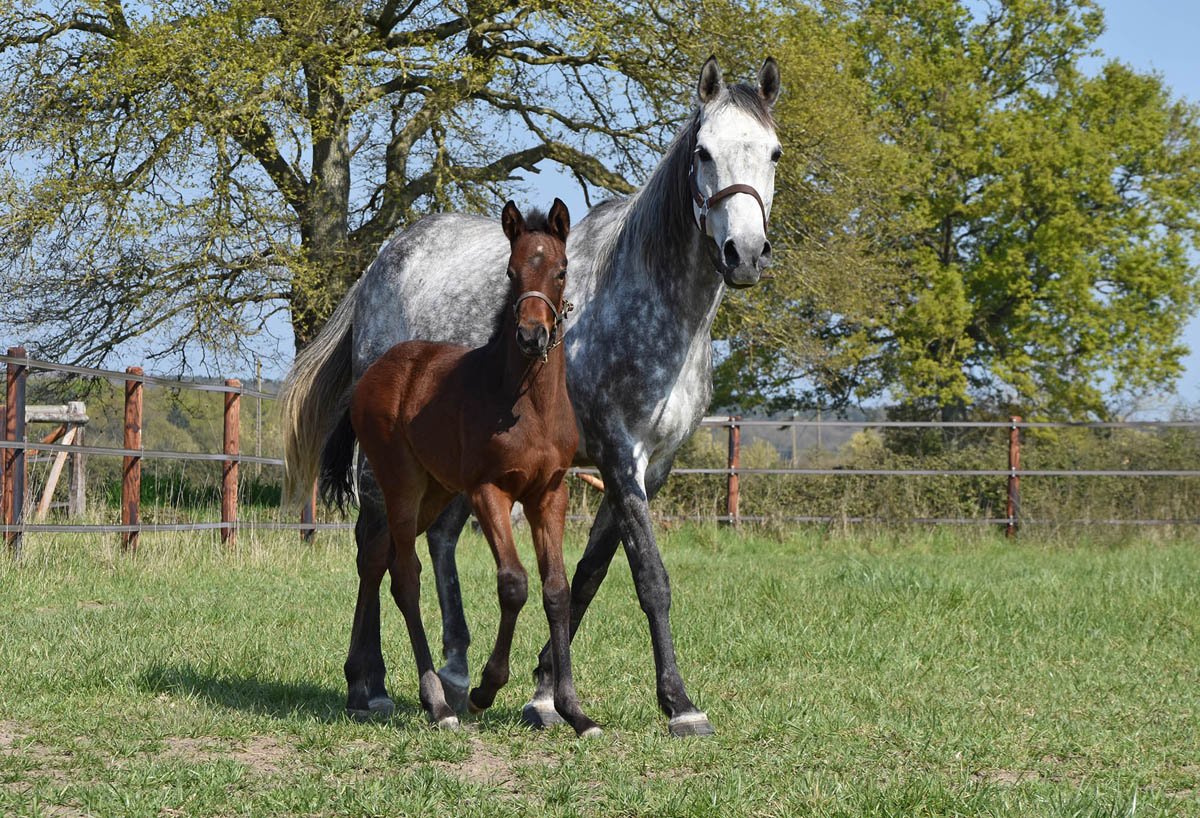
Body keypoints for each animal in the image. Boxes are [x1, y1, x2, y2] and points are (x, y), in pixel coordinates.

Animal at [319, 199, 599, 736]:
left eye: (562, 270)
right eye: (510, 271)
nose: (532, 336)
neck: (525, 403)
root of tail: (374, 373)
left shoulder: (549, 493)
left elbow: (556, 589)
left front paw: (573, 711)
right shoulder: (490, 491)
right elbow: (513, 583)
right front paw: (485, 688)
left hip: (433, 492)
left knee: (376, 560)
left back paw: (360, 690)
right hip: (401, 485)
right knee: (404, 575)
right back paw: (436, 702)